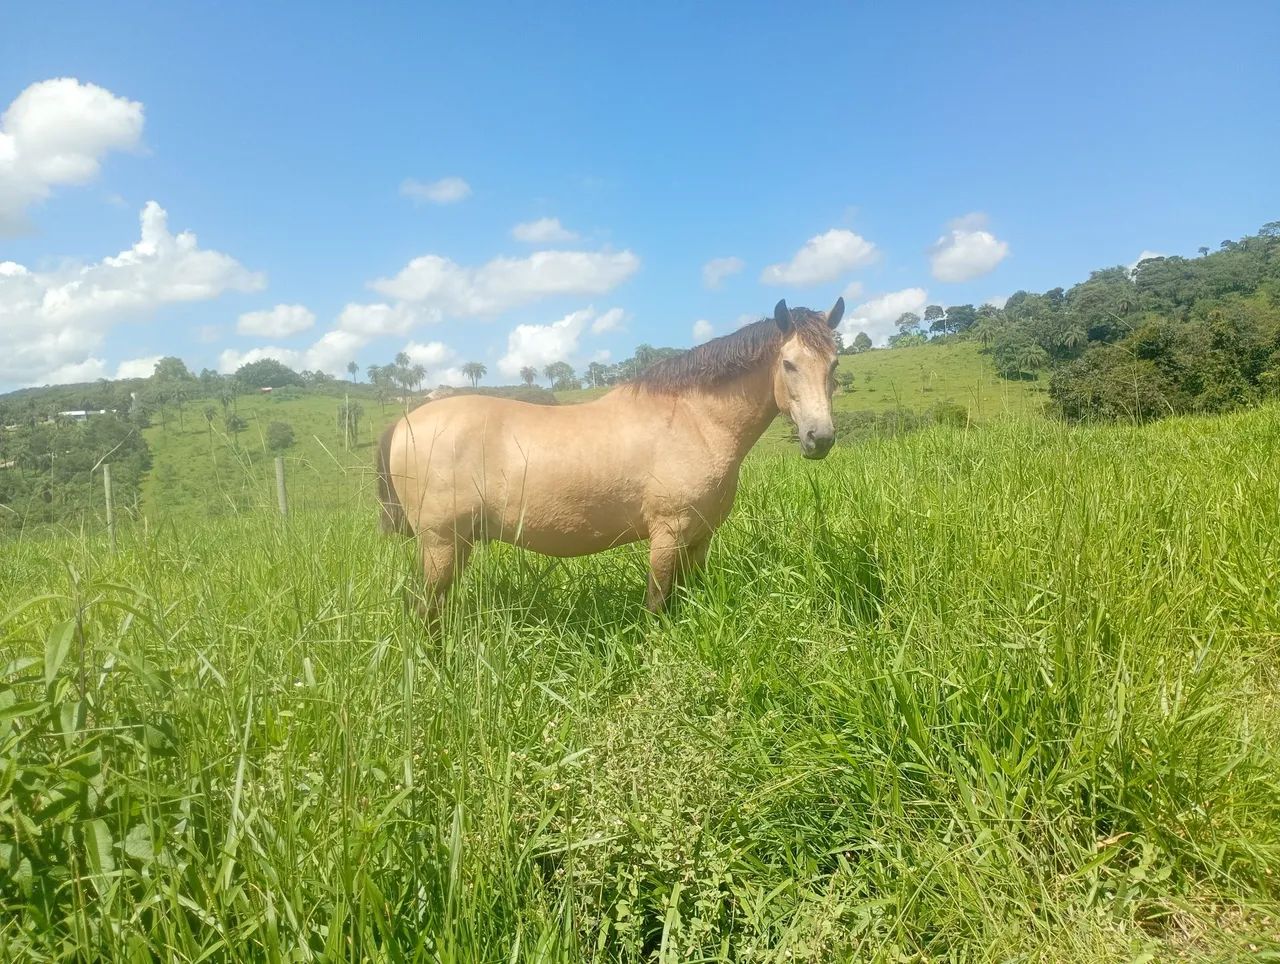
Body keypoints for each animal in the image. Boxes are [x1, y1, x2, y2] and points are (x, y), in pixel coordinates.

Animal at [376, 296, 845, 615]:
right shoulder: (668, 534)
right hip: (440, 544)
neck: (694, 421)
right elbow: (657, 601)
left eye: (834, 364)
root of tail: (404, 424)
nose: (819, 438)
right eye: (788, 364)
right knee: (426, 609)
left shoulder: (700, 537)